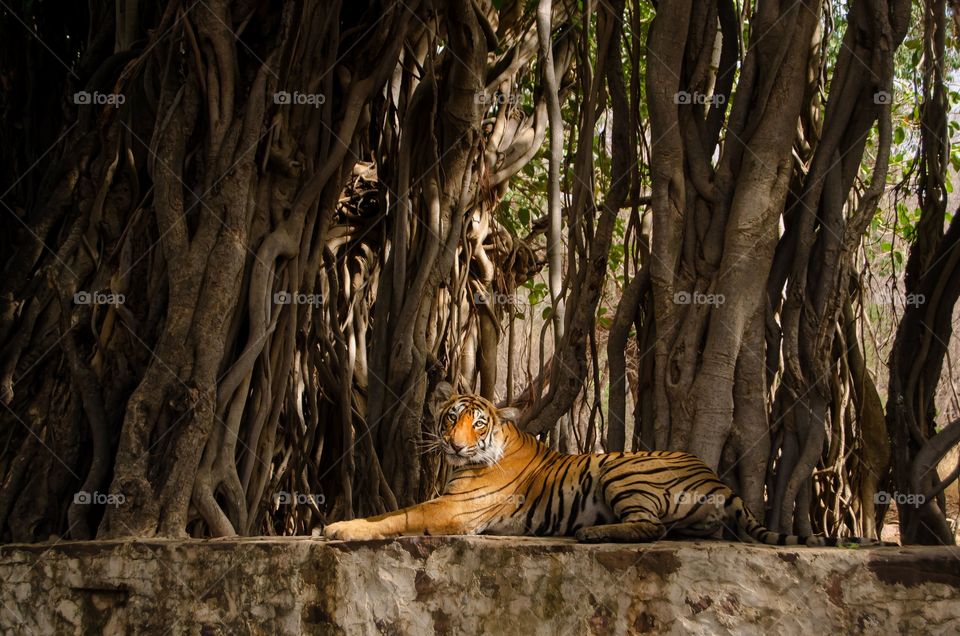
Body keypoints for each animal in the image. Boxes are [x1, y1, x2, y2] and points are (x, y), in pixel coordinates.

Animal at [323, 386, 867, 546]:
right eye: (451, 418)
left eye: (478, 424)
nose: (456, 446)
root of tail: (715, 477)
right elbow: (389, 510)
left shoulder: (452, 511)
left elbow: (397, 516)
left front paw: (340, 528)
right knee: (669, 528)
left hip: (619, 470)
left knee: (650, 528)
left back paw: (591, 534)